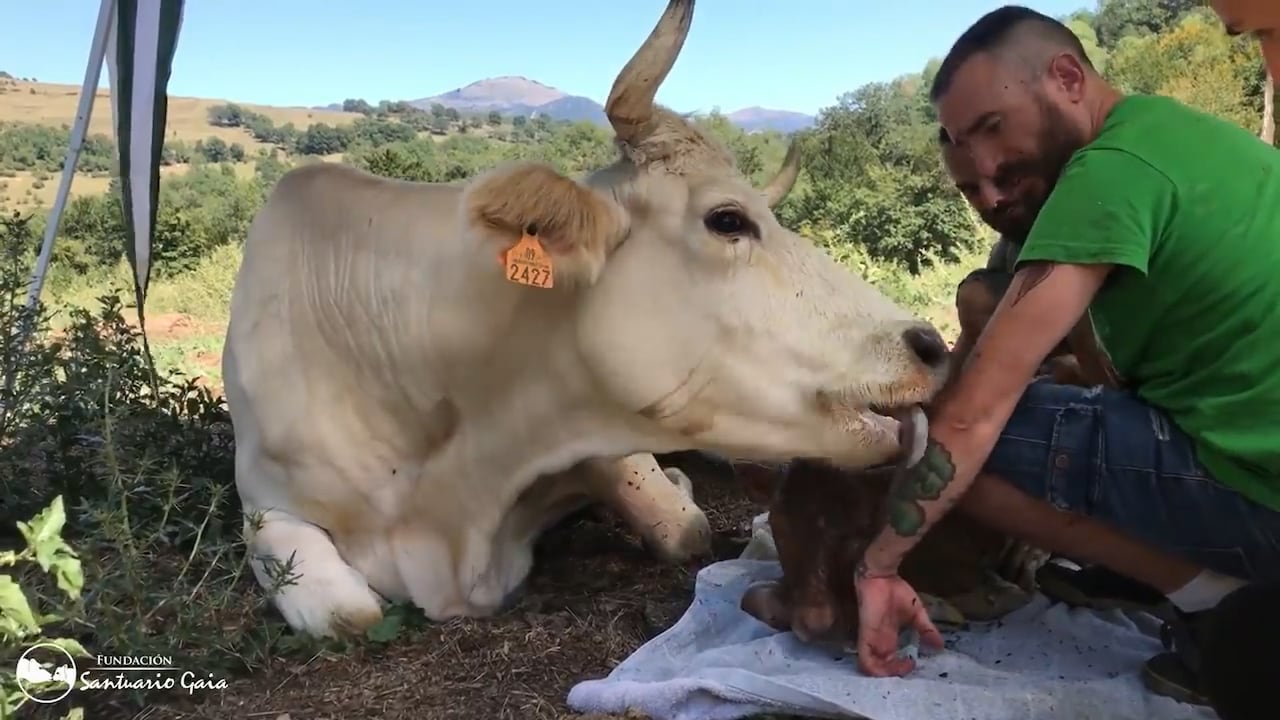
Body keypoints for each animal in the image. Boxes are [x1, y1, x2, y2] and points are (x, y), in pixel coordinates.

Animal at [221, 0, 952, 640]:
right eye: (727, 219)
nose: (928, 344)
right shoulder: (263, 503)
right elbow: (351, 613)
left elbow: (681, 525)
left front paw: (677, 488)